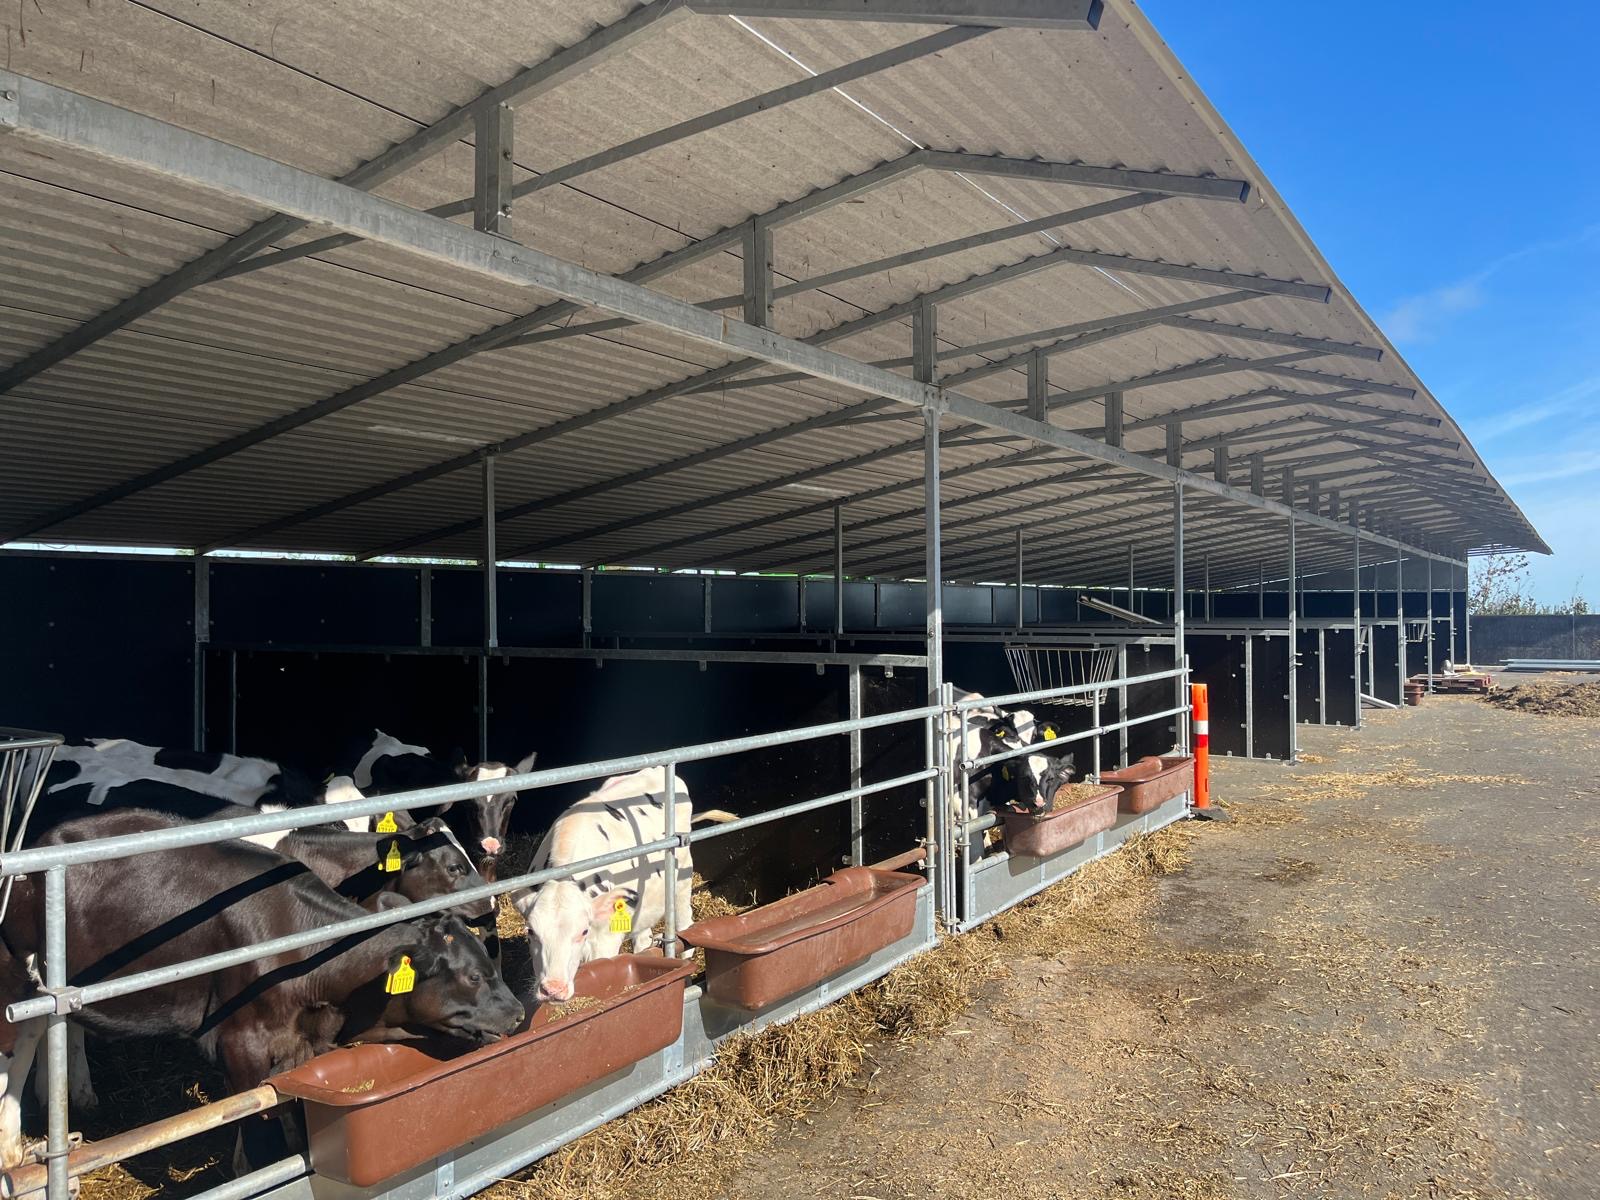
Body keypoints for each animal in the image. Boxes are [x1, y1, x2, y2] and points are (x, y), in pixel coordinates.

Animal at [0, 807, 524, 1172]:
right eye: (454, 867)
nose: (490, 905)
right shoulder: (237, 1037)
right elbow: (250, 1111)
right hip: (17, 971)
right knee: (19, 1045)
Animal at [512, 768, 735, 1004]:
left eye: (583, 930)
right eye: (530, 931)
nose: (553, 989)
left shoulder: (605, 942)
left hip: (682, 878)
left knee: (685, 929)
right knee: (644, 939)